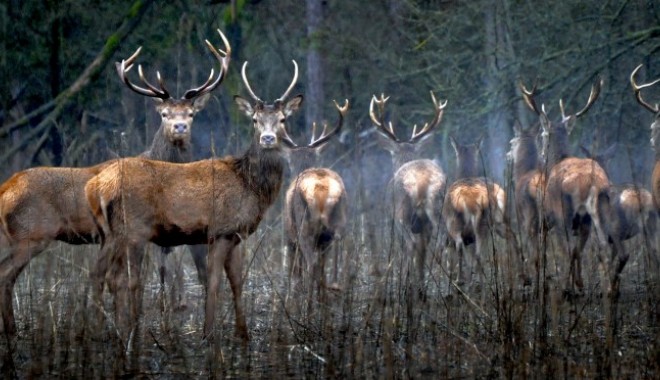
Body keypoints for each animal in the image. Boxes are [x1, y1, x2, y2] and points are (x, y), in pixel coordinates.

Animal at [0, 31, 229, 336]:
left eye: (191, 113)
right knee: (5, 273)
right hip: (32, 233)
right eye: (165, 114)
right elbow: (138, 279)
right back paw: (12, 329)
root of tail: (5, 189)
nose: (180, 127)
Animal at [284, 99, 350, 292]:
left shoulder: (289, 235)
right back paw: (335, 285)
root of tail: (321, 189)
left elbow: (295, 274)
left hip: (304, 227)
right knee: (338, 246)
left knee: (311, 264)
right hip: (338, 220)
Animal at [368, 91, 446, 294]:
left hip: (401, 212)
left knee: (411, 245)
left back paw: (407, 286)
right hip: (438, 207)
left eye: (392, 155)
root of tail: (421, 183)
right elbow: (423, 252)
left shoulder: (392, 218)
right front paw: (420, 281)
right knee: (441, 241)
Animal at [444, 135, 510, 286]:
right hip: (495, 222)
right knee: (512, 237)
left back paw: (463, 280)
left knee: (463, 247)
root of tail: (470, 203)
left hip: (458, 223)